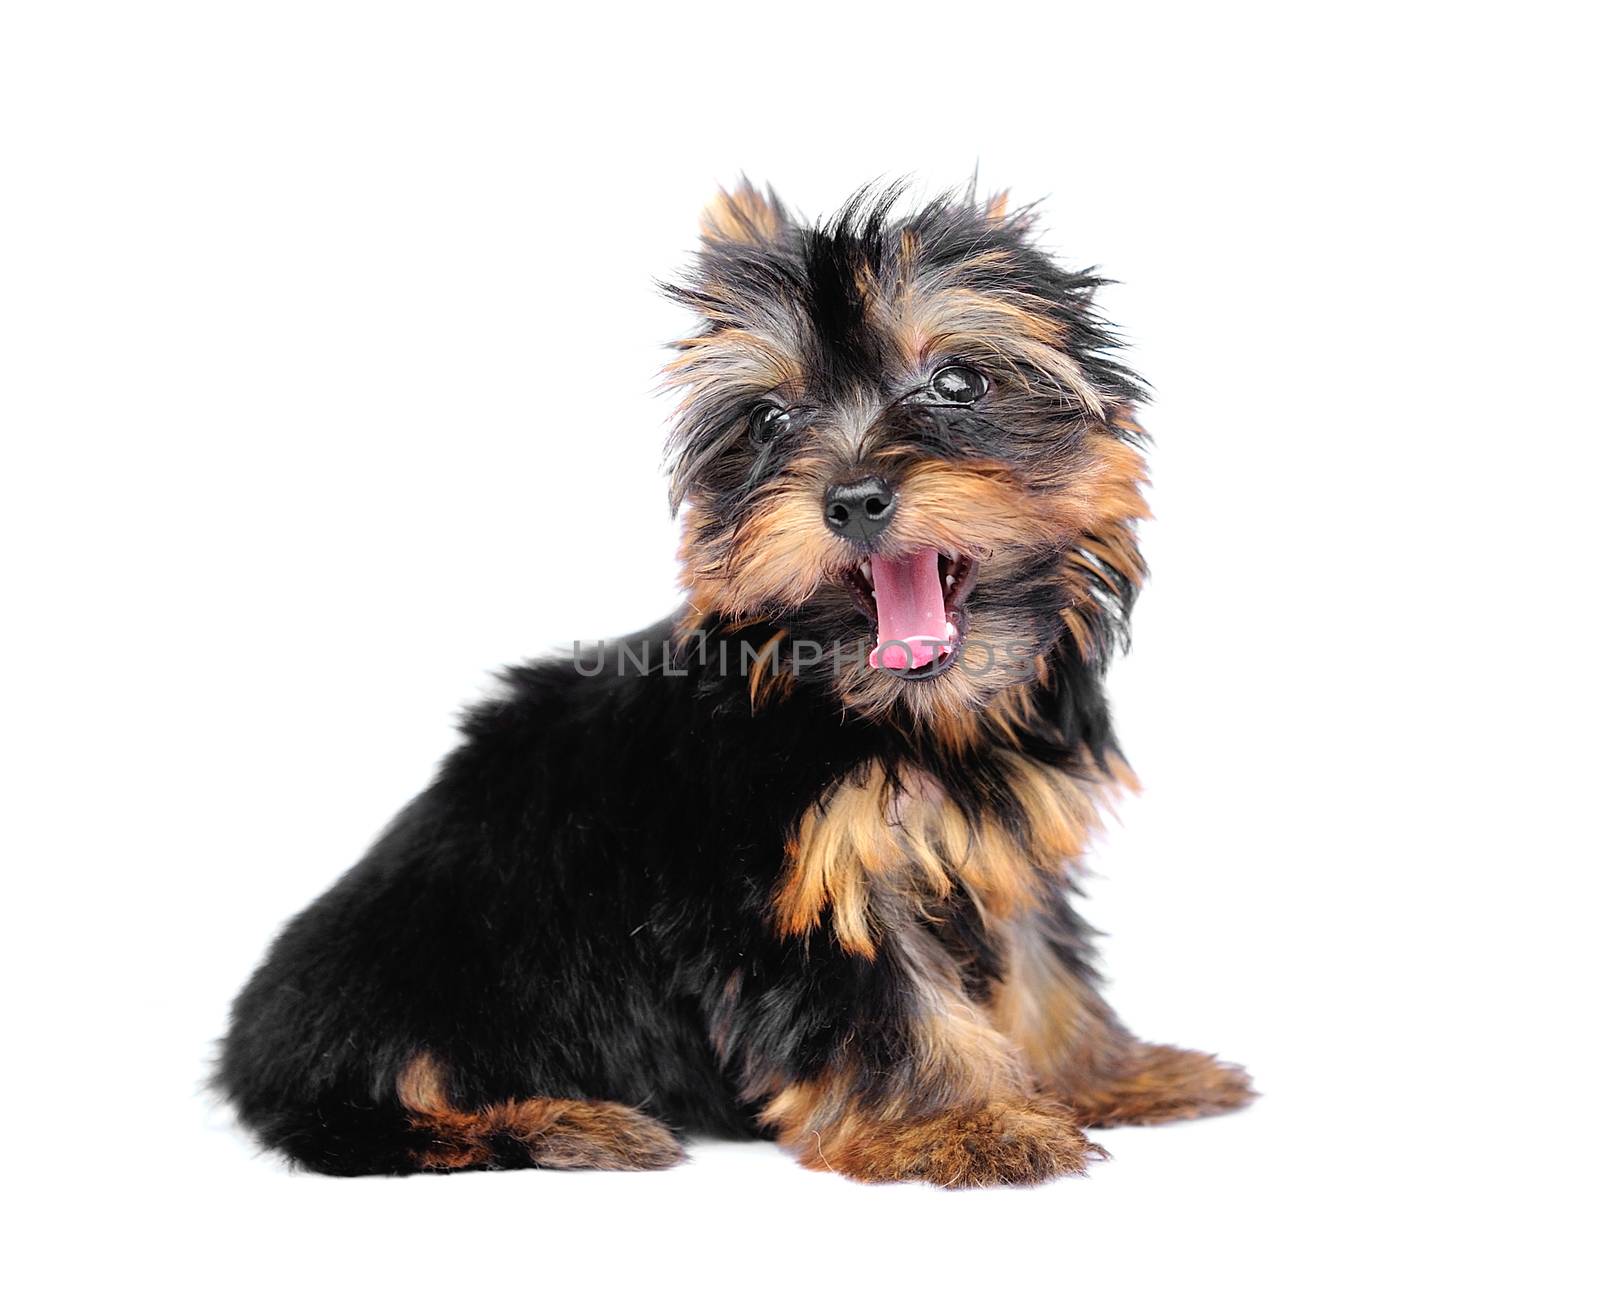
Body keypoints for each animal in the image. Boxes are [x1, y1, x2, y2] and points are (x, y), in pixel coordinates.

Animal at [219, 178, 1254, 1190]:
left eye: (959, 382)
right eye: (769, 421)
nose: (853, 498)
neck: (896, 711)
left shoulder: (1003, 840)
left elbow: (1042, 962)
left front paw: (1105, 1075)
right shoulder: (790, 883)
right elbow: (885, 1007)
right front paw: (964, 1123)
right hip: (415, 970)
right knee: (381, 1110)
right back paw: (564, 1123)